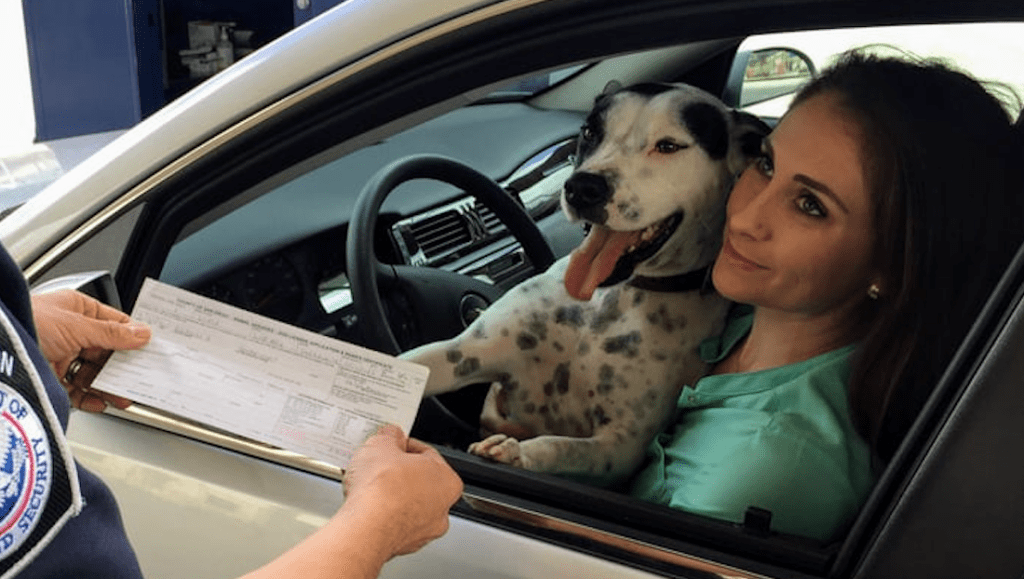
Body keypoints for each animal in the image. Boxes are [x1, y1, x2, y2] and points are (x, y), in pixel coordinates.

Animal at [401, 82, 770, 483]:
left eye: (669, 146)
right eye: (591, 132)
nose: (582, 187)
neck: (612, 298)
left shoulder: (621, 446)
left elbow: (561, 446)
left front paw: (517, 451)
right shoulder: (463, 353)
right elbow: (409, 361)